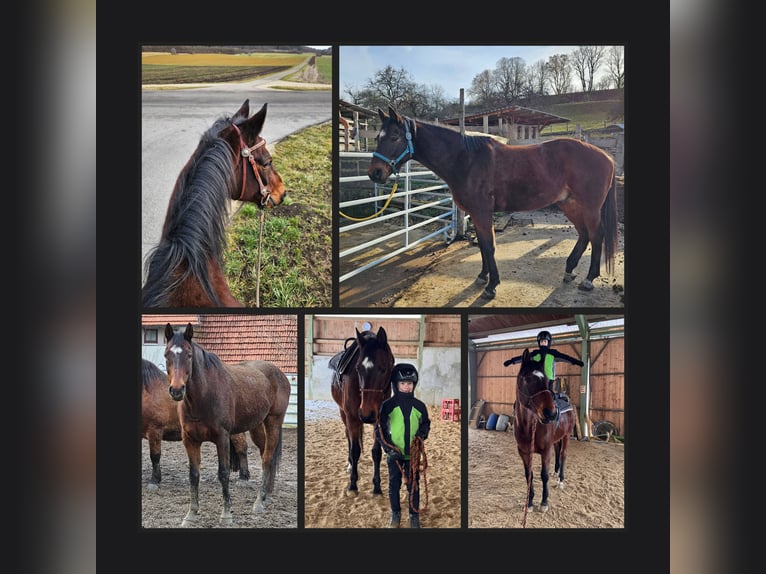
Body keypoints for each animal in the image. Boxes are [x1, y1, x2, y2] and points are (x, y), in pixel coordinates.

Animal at [163, 323, 291, 526]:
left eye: (189, 355)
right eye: (167, 354)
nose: (176, 390)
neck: (204, 396)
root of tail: (280, 374)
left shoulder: (222, 438)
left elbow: (223, 473)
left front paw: (226, 515)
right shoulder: (190, 440)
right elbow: (193, 475)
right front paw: (191, 514)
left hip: (273, 422)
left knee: (267, 458)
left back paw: (258, 503)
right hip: (257, 426)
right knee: (266, 455)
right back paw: (267, 496)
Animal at [330, 326, 395, 496]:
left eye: (383, 368)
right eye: (358, 368)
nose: (366, 414)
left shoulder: (378, 419)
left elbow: (376, 452)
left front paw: (377, 487)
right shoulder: (352, 417)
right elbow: (355, 450)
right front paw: (353, 485)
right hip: (343, 413)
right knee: (348, 436)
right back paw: (350, 465)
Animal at [368, 106, 618, 300]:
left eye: (394, 137)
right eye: (377, 137)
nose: (375, 173)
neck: (466, 160)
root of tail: (607, 156)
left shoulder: (482, 212)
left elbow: (489, 246)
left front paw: (492, 286)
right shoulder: (477, 214)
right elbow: (482, 245)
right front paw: (482, 276)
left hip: (589, 208)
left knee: (596, 235)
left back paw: (589, 279)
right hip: (570, 205)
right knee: (584, 235)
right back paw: (569, 270)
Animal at [513, 348, 576, 515]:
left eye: (547, 380)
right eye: (527, 379)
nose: (551, 413)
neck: (529, 427)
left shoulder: (546, 451)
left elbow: (544, 475)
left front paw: (544, 502)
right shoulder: (524, 452)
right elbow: (529, 475)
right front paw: (529, 503)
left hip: (567, 436)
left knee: (563, 454)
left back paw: (560, 480)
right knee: (558, 452)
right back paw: (556, 472)